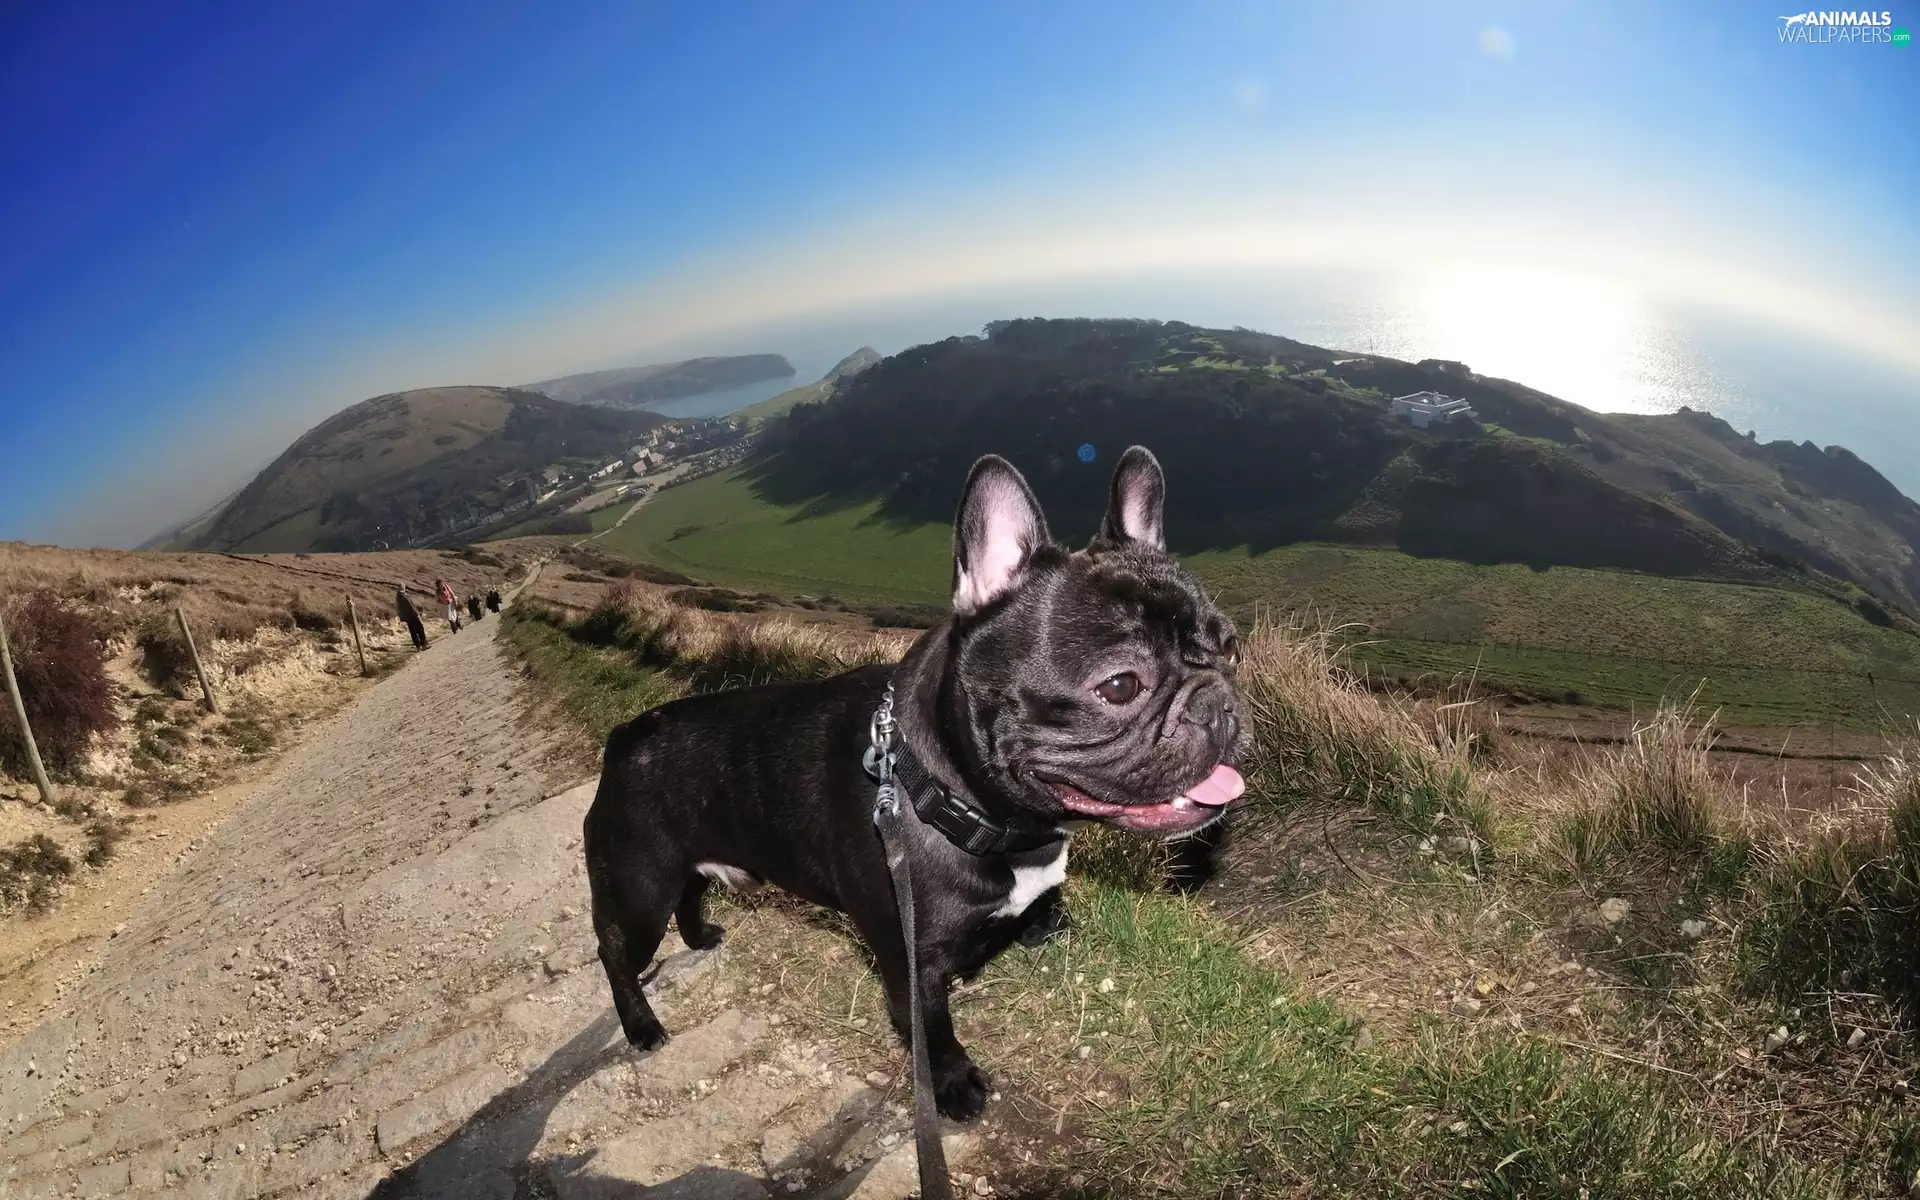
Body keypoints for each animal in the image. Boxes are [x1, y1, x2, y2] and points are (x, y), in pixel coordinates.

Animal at [583, 445, 1250, 1119]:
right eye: (1120, 685)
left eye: (1232, 649)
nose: (1219, 702)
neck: (954, 800)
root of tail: (625, 738)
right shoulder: (912, 964)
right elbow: (933, 1031)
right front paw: (955, 1086)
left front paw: (1040, 920)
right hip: (640, 889)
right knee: (616, 952)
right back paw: (641, 1025)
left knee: (692, 893)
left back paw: (699, 936)